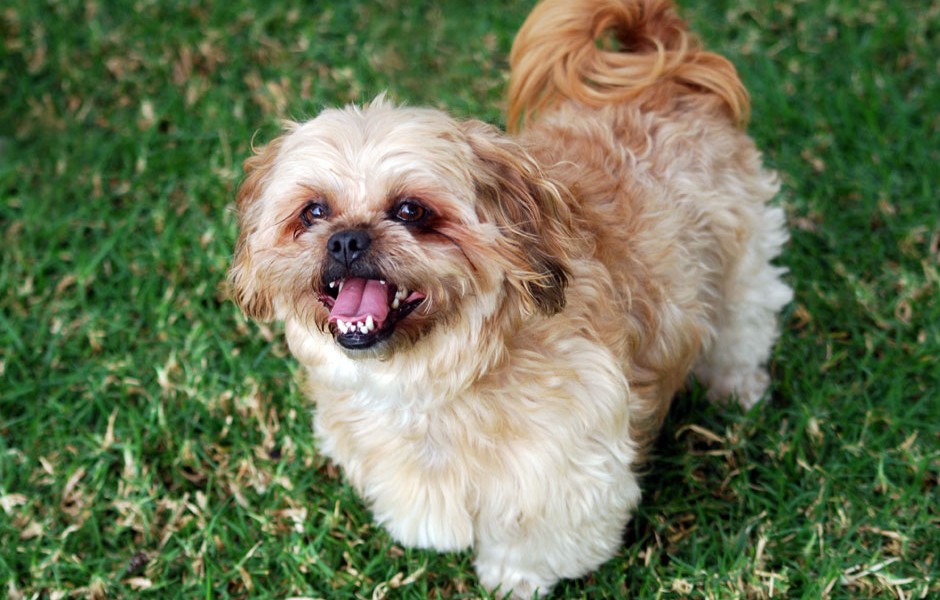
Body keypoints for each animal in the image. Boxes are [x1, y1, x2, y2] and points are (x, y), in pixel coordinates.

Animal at [228, 0, 792, 592]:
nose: (345, 238)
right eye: (313, 211)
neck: (440, 379)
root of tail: (662, 69)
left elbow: (532, 541)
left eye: (411, 210)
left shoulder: (565, 469)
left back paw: (738, 389)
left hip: (744, 261)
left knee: (743, 326)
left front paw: (513, 580)